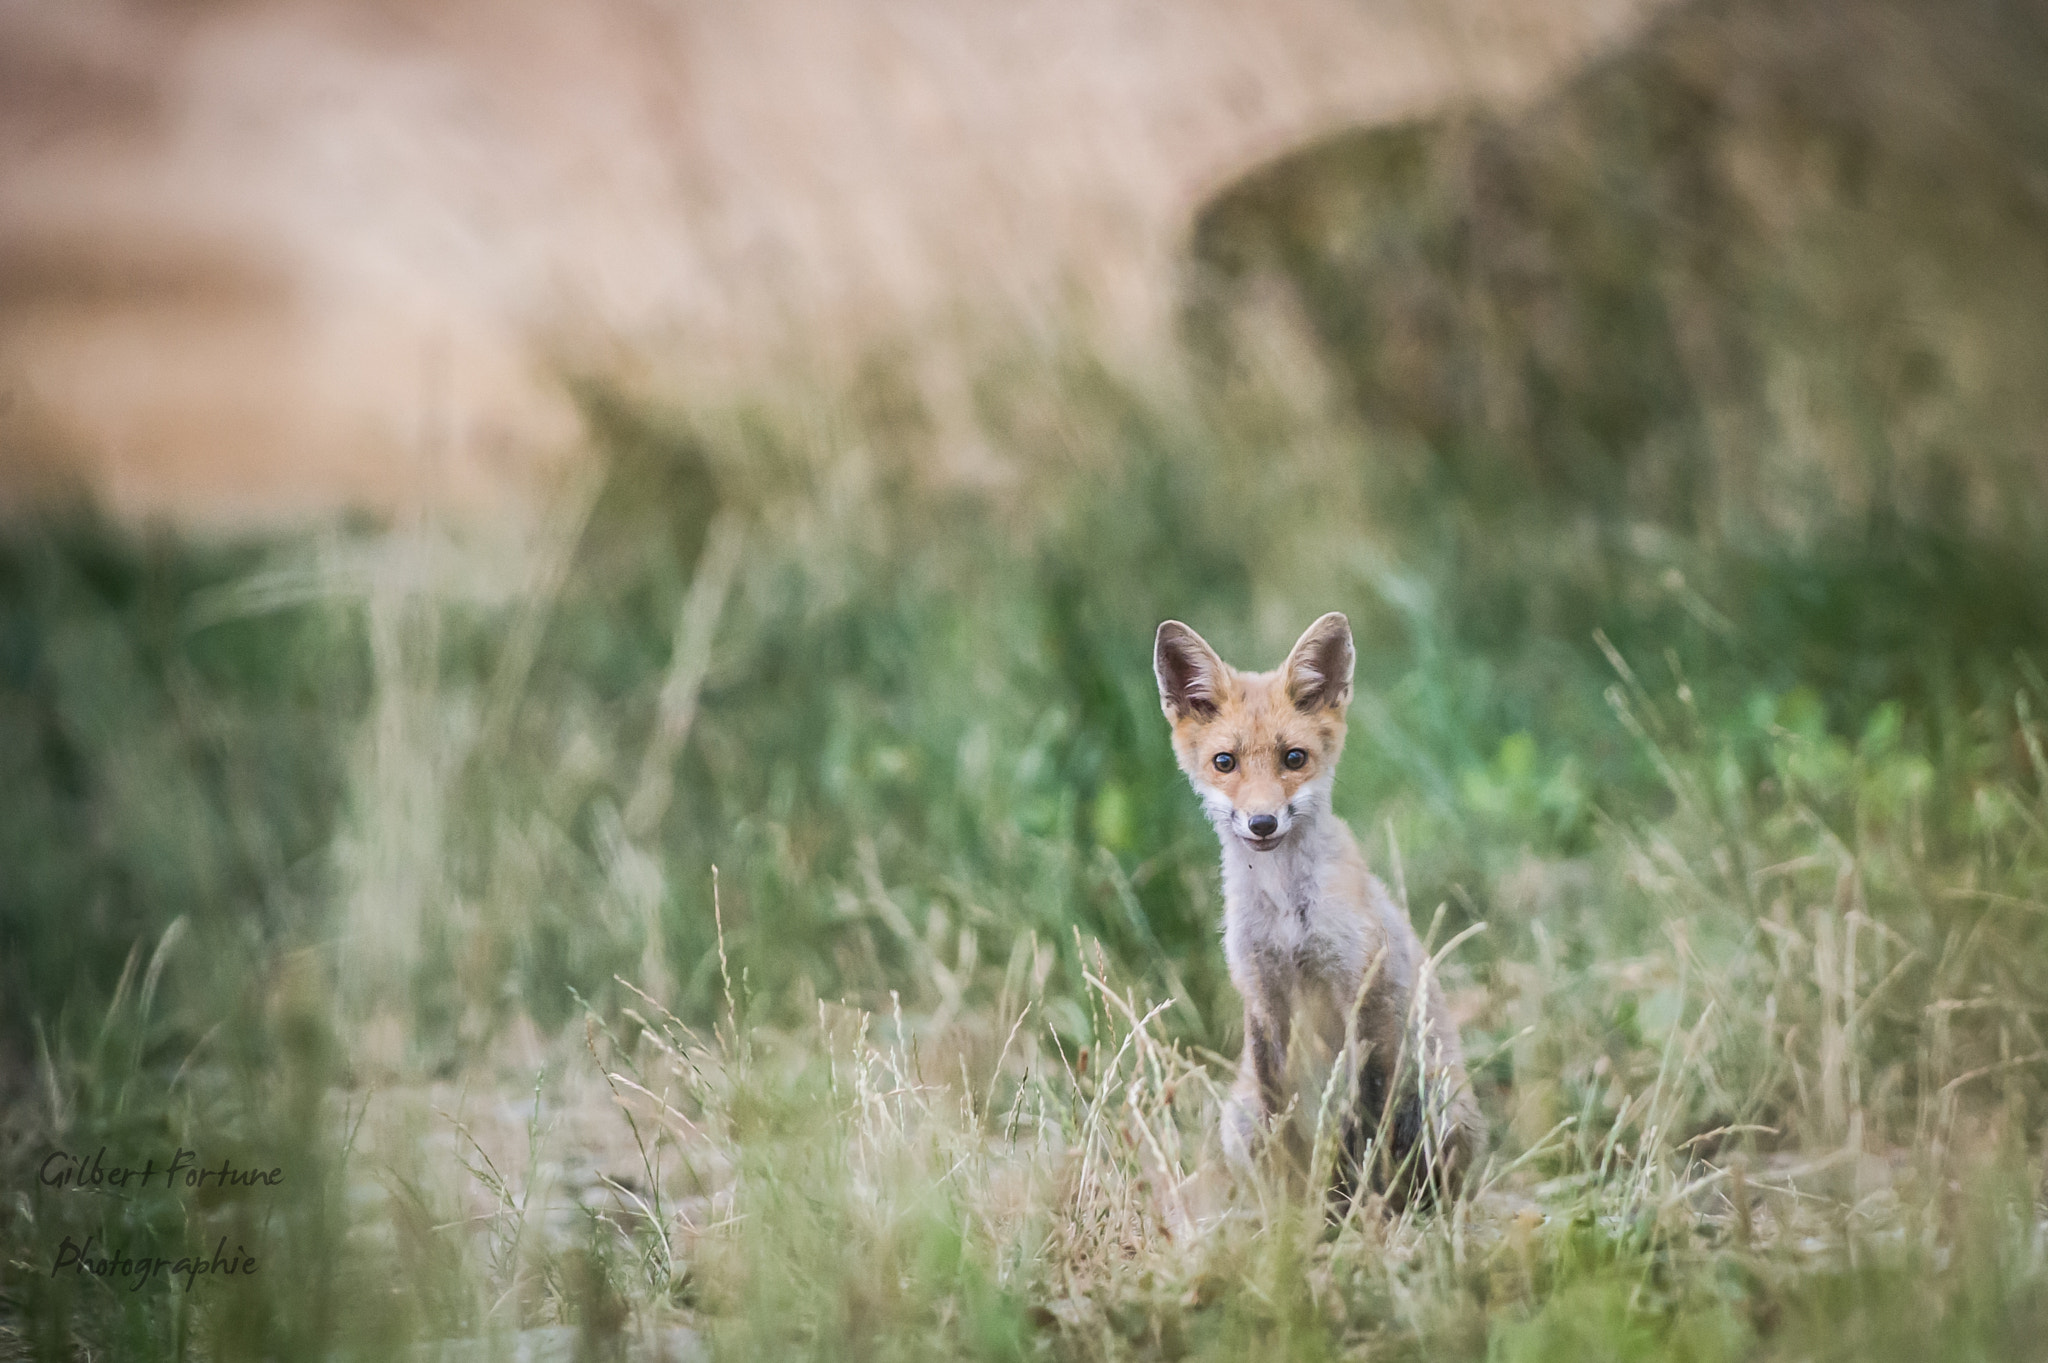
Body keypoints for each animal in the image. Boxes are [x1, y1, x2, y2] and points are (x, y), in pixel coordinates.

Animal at [1154, 611, 1482, 1208]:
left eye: (1294, 759)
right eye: (1224, 763)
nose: (1262, 823)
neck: (1288, 916)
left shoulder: (1362, 992)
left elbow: (1367, 1120)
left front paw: (1369, 1210)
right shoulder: (1263, 997)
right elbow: (1280, 1117)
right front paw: (1289, 1207)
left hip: (1439, 1103)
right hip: (1237, 1120)